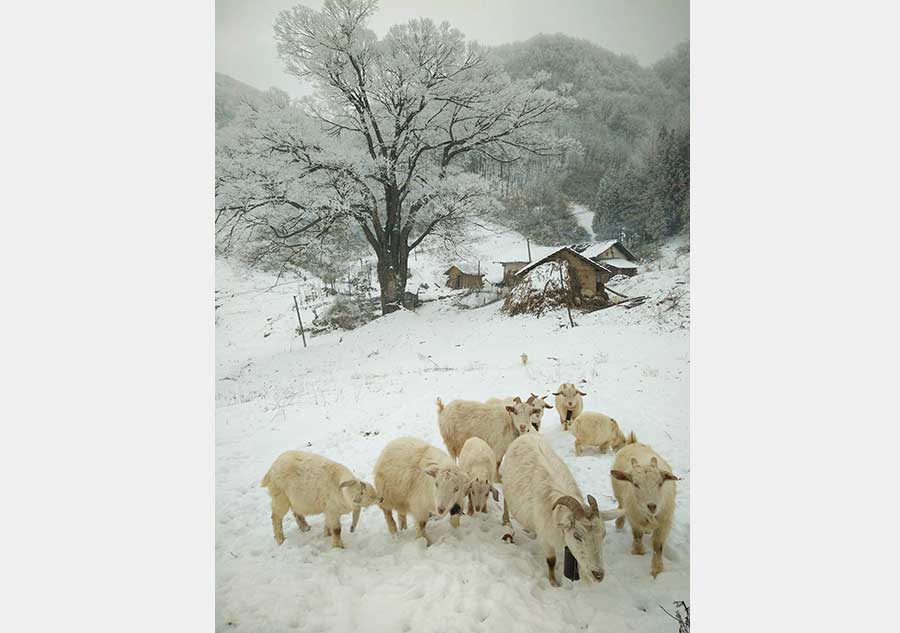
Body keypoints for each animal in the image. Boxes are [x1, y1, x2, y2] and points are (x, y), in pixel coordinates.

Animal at [502, 432, 624, 584]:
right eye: (577, 535)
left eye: (603, 534)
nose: (598, 575)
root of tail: (526, 435)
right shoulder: (546, 539)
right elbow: (551, 561)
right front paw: (553, 583)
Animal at [608, 442, 680, 576]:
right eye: (635, 484)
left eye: (660, 483)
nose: (652, 506)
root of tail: (634, 443)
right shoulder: (634, 518)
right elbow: (637, 536)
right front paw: (638, 552)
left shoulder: (664, 522)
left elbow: (657, 545)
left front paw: (657, 569)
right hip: (619, 496)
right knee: (620, 506)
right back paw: (619, 523)